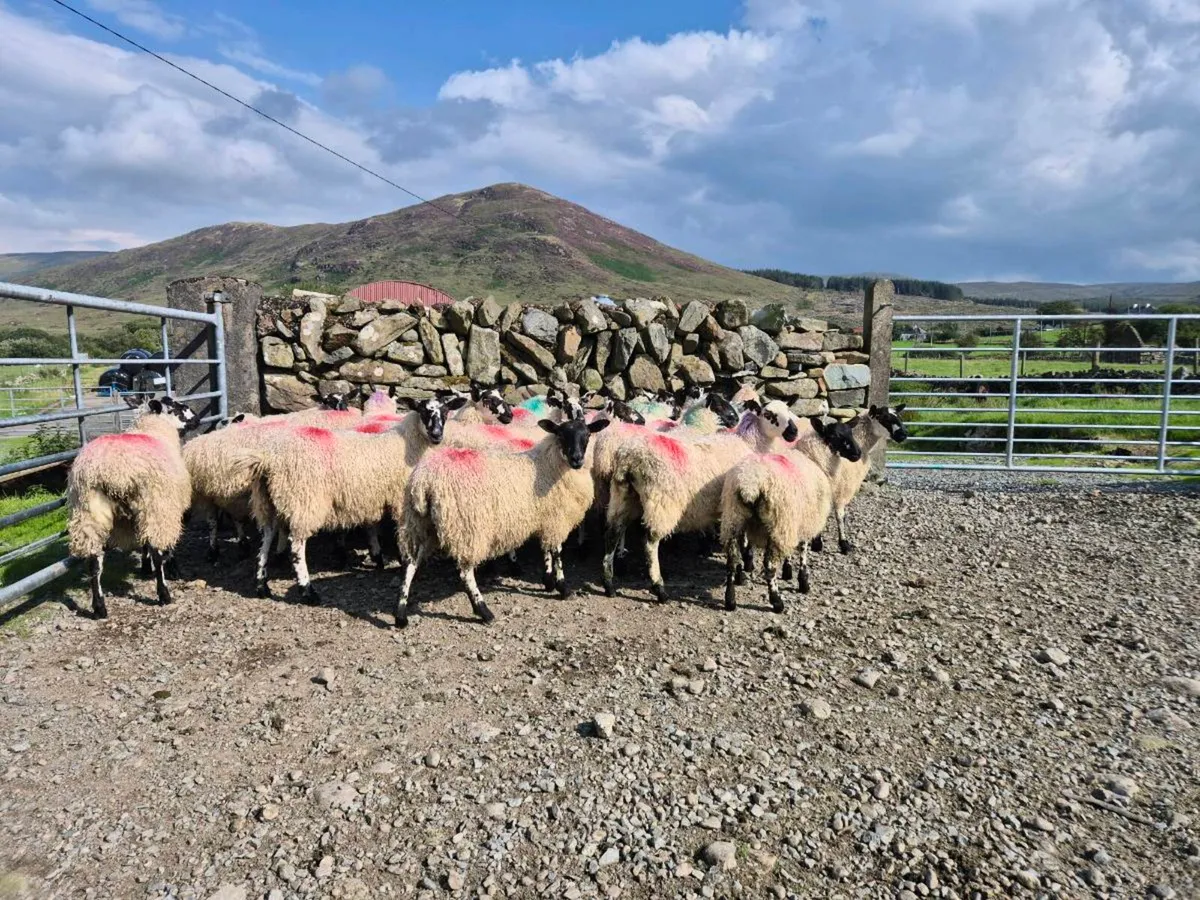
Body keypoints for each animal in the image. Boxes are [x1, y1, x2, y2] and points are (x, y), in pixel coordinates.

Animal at [66, 394, 200, 618]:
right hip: (154, 503)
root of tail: (114, 473)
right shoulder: (167, 506)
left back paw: (99, 607)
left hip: (89, 511)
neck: (154, 430)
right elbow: (162, 546)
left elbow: (142, 541)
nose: (197, 418)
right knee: (157, 551)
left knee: (93, 561)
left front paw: (144, 567)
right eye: (175, 407)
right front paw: (172, 569)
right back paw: (164, 594)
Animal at [241, 393, 468, 602]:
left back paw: (262, 586)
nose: (437, 434)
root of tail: (269, 460)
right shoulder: (399, 500)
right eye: (423, 411)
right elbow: (400, 534)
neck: (410, 446)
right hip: (303, 500)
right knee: (296, 546)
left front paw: (377, 557)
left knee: (267, 537)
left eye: (446, 411)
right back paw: (308, 591)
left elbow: (372, 526)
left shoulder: (372, 497)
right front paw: (403, 561)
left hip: (268, 500)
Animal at [396, 416, 611, 627]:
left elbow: (546, 550)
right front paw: (563, 588)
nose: (577, 459)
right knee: (465, 573)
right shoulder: (557, 519)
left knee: (410, 565)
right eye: (561, 435)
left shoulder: (546, 517)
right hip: (466, 528)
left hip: (420, 524)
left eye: (587, 435)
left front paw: (548, 581)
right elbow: (557, 552)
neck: (550, 465)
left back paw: (401, 615)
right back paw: (483, 611)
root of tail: (423, 483)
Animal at [601, 399, 801, 601]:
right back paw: (659, 588)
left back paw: (609, 584)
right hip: (661, 503)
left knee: (613, 533)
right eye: (769, 415)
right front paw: (742, 571)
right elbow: (740, 542)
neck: (749, 444)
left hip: (622, 496)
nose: (794, 432)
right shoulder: (735, 508)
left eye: (789, 409)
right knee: (649, 542)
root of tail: (631, 458)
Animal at [719, 417, 863, 613]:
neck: (814, 458)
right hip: (777, 521)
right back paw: (777, 601)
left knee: (731, 562)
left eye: (850, 431)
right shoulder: (804, 519)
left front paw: (788, 571)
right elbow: (802, 551)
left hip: (734, 519)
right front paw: (803, 582)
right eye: (834, 435)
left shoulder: (794, 519)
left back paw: (730, 600)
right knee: (769, 566)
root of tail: (750, 484)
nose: (858, 454)